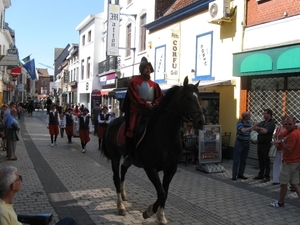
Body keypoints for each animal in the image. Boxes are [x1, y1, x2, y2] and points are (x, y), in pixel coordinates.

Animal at [102, 76, 205, 224]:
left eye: (199, 97)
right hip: (115, 157)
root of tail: (111, 123)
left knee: (123, 169)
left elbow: (165, 193)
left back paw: (124, 194)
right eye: (188, 98)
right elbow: (161, 192)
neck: (166, 135)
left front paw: (160, 215)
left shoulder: (171, 169)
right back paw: (120, 206)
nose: (201, 121)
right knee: (116, 177)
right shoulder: (151, 169)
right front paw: (149, 211)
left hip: (128, 159)